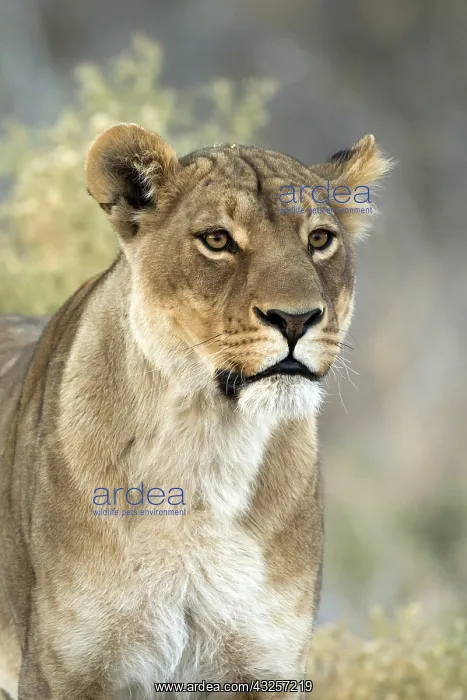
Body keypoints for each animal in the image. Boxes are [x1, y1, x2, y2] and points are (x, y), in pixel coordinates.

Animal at [0, 124, 390, 699]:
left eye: (319, 240)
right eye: (217, 240)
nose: (296, 320)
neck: (207, 440)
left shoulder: (266, 665)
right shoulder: (62, 670)